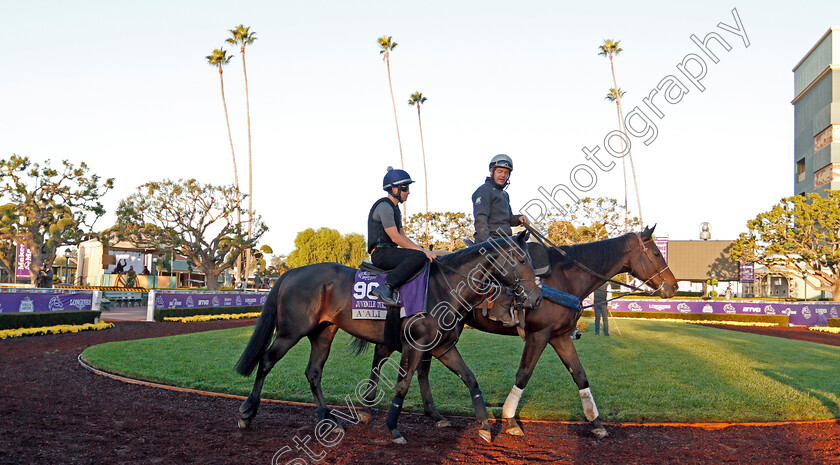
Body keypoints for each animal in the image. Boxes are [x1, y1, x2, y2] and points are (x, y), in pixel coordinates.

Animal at [356, 225, 676, 436]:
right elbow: (524, 373)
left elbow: (580, 375)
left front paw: (595, 422)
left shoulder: (560, 336)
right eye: (656, 254)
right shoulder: (539, 334)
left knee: (415, 365)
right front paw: (509, 419)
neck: (564, 278)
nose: (672, 286)